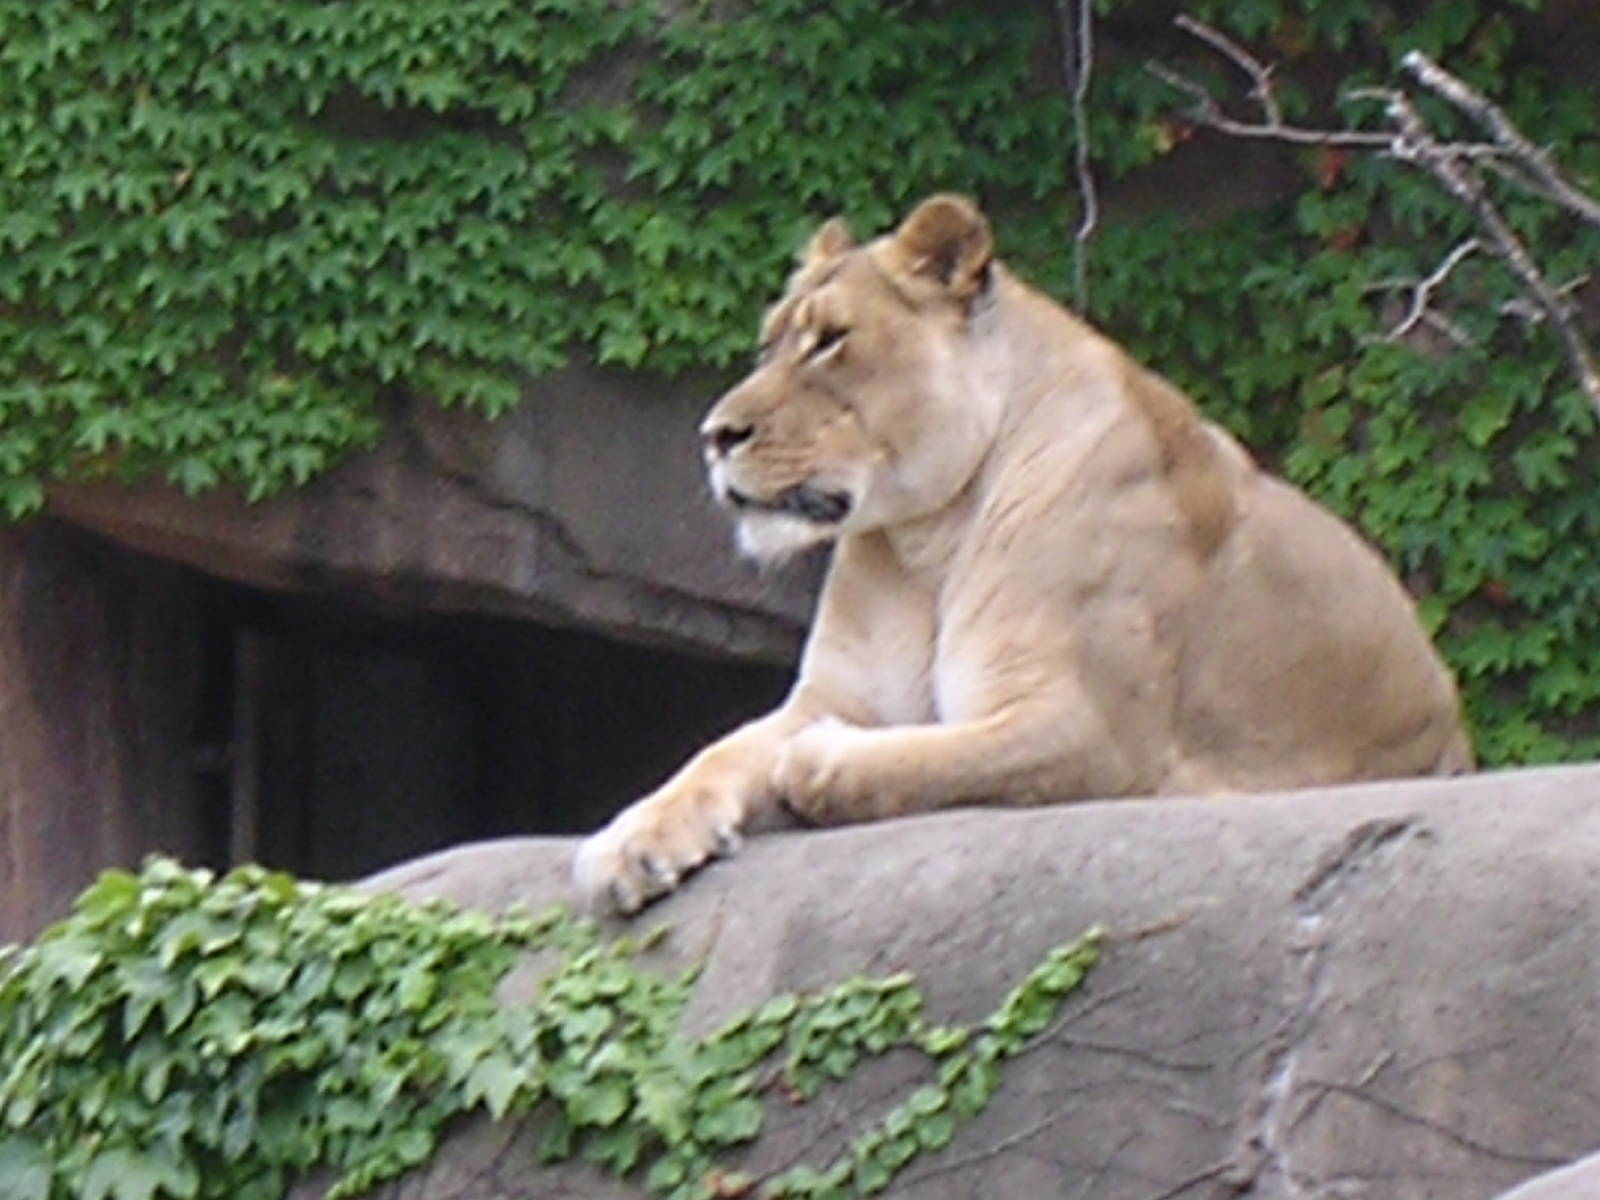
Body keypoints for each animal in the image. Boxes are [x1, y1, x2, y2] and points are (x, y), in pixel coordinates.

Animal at [574, 193, 1472, 913]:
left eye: (830, 342)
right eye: (768, 346)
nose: (714, 435)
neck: (926, 543)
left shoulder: (1090, 728)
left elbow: (913, 762)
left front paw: (817, 762)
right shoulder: (836, 691)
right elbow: (717, 753)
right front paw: (629, 841)